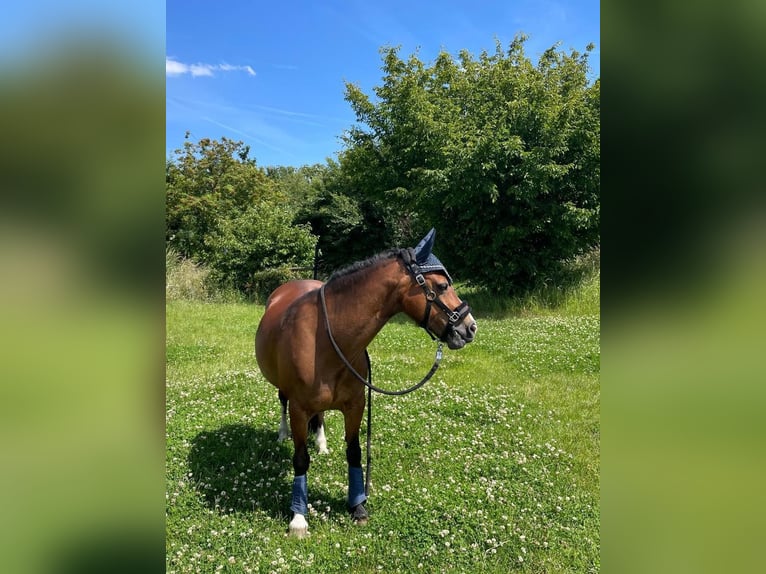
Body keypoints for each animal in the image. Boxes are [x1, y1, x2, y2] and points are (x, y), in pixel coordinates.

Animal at [255, 230, 476, 540]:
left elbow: (354, 453)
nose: (470, 328)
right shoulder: (300, 409)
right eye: (443, 285)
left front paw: (357, 507)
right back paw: (282, 433)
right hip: (285, 395)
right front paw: (298, 519)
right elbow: (300, 459)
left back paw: (321, 443)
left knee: (319, 416)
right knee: (282, 401)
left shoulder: (355, 405)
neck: (325, 338)